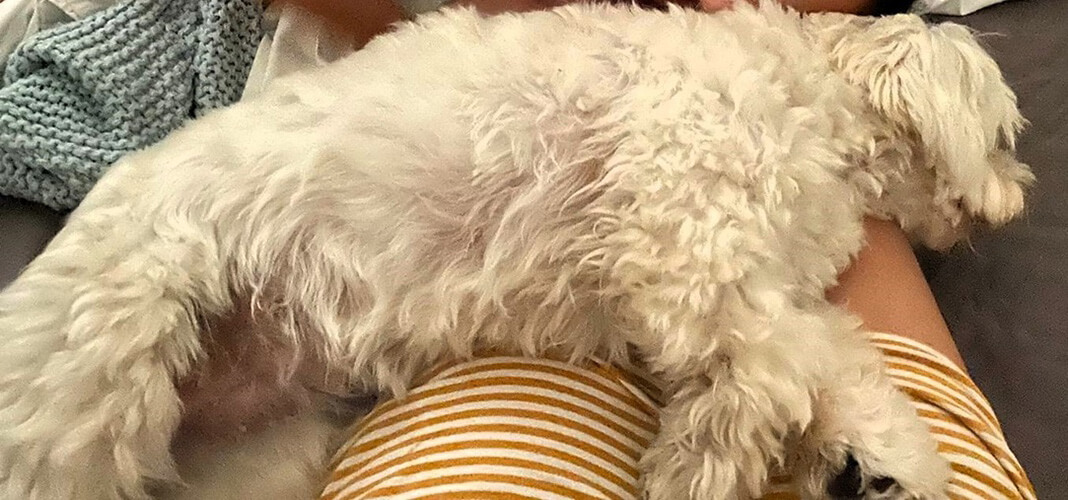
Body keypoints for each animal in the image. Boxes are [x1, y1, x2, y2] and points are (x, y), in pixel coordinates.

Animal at [0, 2, 1030, 499]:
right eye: (1008, 136)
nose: (1018, 201)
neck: (810, 101)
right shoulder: (686, 240)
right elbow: (786, 363)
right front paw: (708, 462)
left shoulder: (740, 282)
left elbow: (831, 356)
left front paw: (880, 461)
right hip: (99, 377)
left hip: (258, 458)